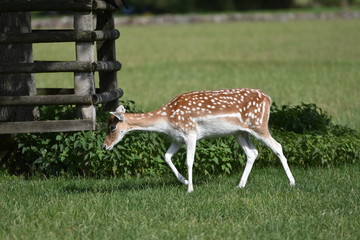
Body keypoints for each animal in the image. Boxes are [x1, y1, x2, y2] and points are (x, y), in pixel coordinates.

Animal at [103, 89, 296, 192]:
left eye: (112, 127)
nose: (105, 146)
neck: (166, 119)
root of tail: (268, 99)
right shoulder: (177, 138)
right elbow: (166, 156)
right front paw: (184, 181)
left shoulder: (190, 133)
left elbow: (189, 161)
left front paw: (190, 188)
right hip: (240, 132)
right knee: (252, 153)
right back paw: (240, 185)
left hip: (259, 124)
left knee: (277, 146)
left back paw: (292, 182)